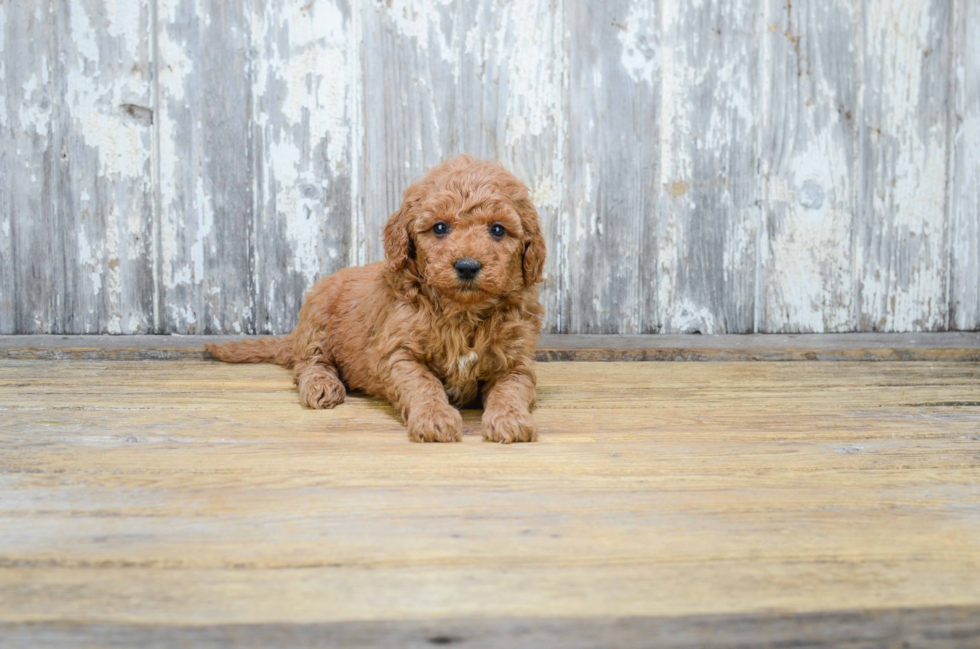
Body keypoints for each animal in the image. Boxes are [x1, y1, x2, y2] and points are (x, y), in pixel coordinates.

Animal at [206, 154, 544, 442]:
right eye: (439, 227)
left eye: (497, 230)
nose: (467, 266)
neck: (462, 312)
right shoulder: (398, 353)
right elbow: (423, 383)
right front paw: (434, 417)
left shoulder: (516, 360)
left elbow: (511, 388)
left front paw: (510, 419)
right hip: (317, 315)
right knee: (310, 362)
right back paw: (322, 385)